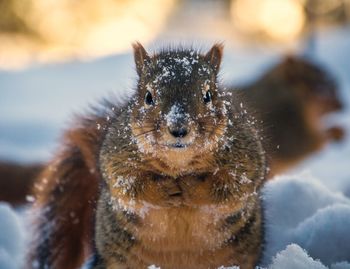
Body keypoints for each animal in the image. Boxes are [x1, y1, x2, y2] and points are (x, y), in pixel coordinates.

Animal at [27, 42, 266, 268]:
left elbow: (232, 188)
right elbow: (130, 187)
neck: (179, 163)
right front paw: (164, 189)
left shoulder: (246, 157)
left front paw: (191, 186)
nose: (178, 129)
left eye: (208, 95)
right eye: (148, 97)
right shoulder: (115, 156)